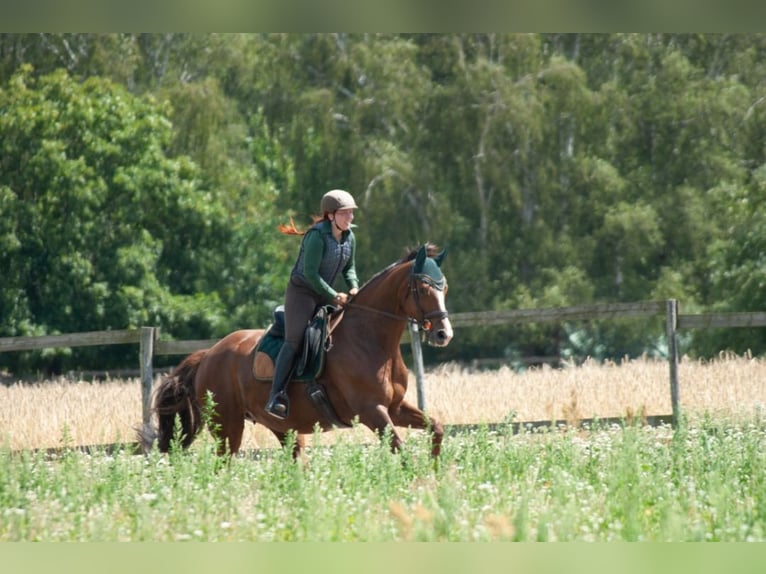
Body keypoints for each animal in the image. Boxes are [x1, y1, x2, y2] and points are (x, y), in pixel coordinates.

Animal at [147, 245, 452, 462]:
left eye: (444, 287)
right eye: (423, 287)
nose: (443, 334)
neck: (371, 340)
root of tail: (209, 354)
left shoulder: (394, 408)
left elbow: (436, 428)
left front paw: (436, 471)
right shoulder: (371, 411)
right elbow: (400, 449)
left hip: (283, 428)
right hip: (227, 426)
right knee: (223, 465)